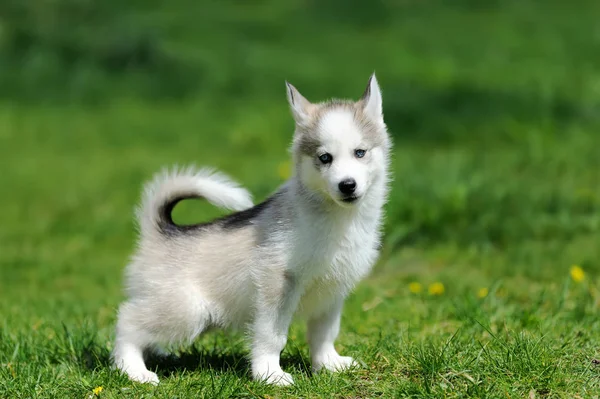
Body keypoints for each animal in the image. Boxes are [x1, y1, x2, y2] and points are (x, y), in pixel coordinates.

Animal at [112, 73, 394, 386]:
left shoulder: (332, 290)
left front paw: (329, 364)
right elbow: (272, 335)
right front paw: (270, 373)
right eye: (324, 158)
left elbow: (324, 333)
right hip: (187, 311)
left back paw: (159, 355)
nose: (347, 185)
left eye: (360, 152)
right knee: (127, 322)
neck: (336, 218)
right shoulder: (277, 282)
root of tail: (161, 231)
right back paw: (133, 369)